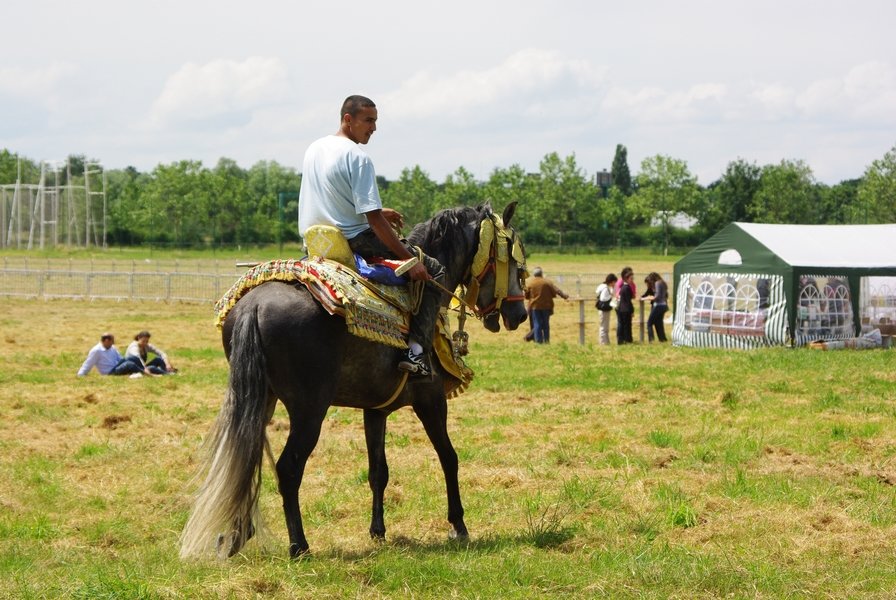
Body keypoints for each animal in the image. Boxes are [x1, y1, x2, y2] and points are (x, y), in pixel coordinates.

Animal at [182, 204, 528, 560]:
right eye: (515, 261)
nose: (520, 315)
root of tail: (254, 306)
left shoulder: (375, 411)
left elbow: (378, 471)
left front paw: (378, 530)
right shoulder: (431, 402)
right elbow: (449, 457)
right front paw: (458, 525)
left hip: (258, 399)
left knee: (244, 459)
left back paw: (233, 537)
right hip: (309, 410)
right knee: (288, 468)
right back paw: (298, 545)